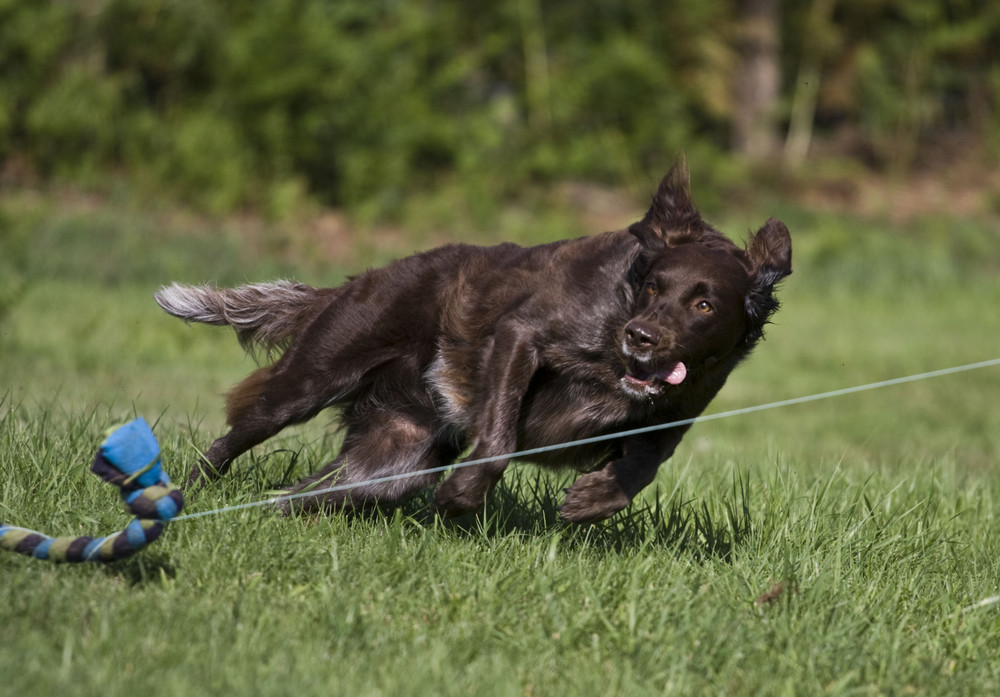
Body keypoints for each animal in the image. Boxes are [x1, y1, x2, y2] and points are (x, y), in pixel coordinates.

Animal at [156, 164, 792, 520]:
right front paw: (461, 498)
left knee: (303, 494)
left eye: (704, 305)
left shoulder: (678, 410)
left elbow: (644, 464)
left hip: (393, 461)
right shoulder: (522, 335)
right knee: (229, 443)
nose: (641, 337)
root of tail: (357, 280)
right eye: (655, 286)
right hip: (311, 378)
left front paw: (594, 500)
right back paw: (178, 500)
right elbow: (499, 439)